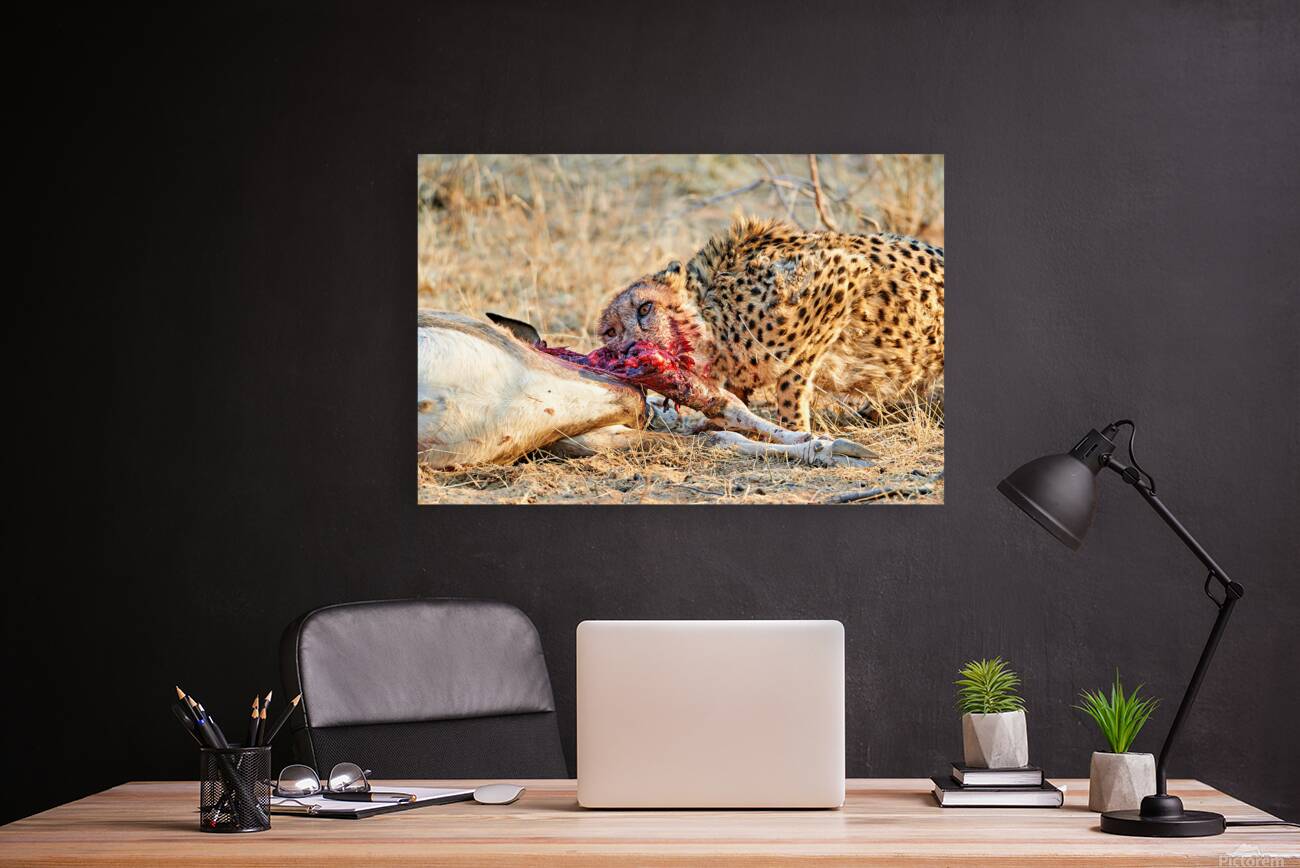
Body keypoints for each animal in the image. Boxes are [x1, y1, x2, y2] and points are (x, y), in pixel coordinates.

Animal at [596, 217, 944, 432]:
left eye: (645, 308)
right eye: (611, 332)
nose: (631, 349)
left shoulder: (840, 274)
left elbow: (793, 376)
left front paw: (795, 427)